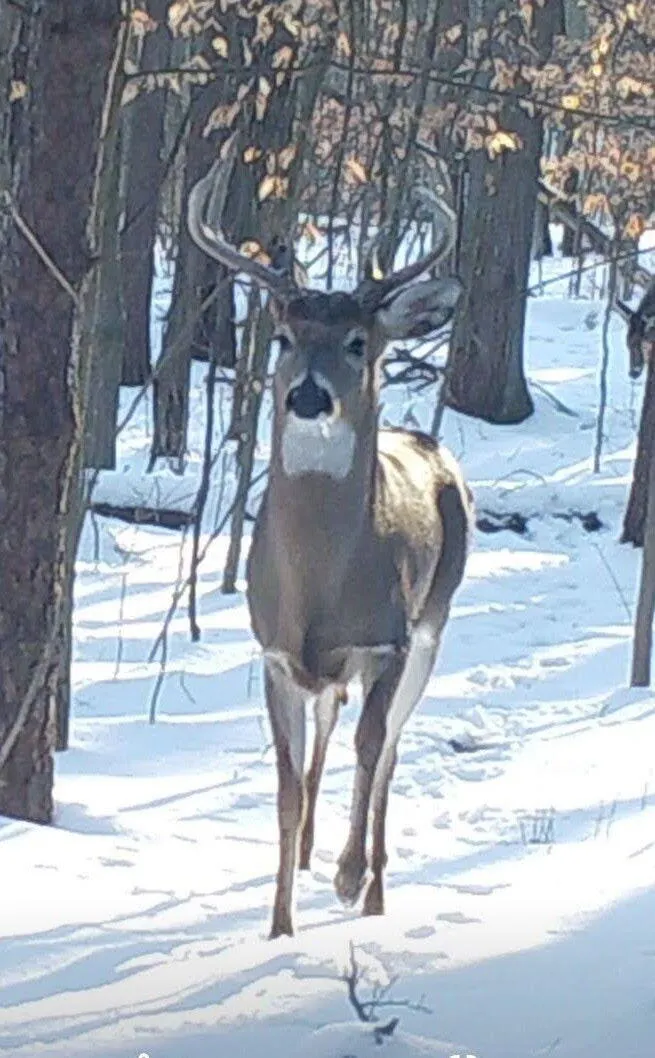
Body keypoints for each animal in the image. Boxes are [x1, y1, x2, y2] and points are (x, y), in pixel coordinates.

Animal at [187, 138, 474, 939]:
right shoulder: (276, 653)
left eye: (356, 341)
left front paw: (349, 879)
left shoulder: (388, 640)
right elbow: (285, 790)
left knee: (390, 750)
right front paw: (279, 925)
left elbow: (371, 748)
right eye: (283, 336)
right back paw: (319, 855)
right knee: (330, 718)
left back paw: (369, 886)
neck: (317, 584)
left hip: (435, 621)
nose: (307, 394)